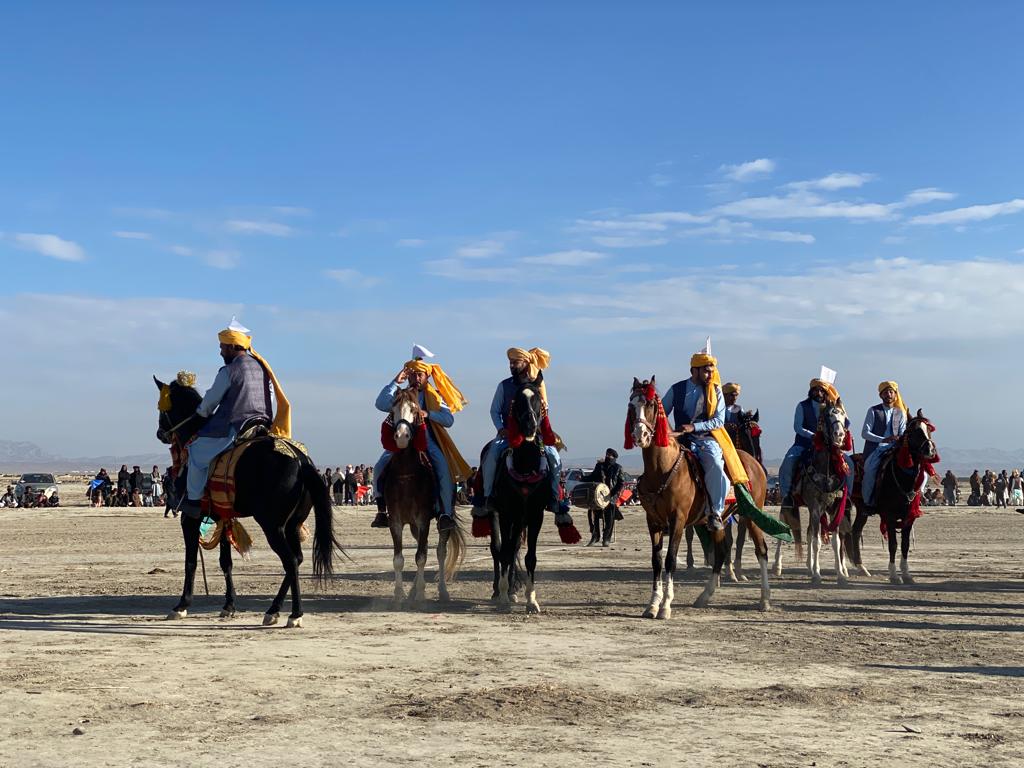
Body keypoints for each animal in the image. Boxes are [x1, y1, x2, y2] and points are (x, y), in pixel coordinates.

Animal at [151, 376, 342, 626]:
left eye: (161, 409)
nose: (160, 432)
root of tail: (301, 461)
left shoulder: (190, 518)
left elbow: (190, 561)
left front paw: (182, 605)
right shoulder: (222, 516)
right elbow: (226, 562)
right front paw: (229, 606)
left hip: (273, 525)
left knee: (290, 561)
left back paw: (294, 614)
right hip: (292, 525)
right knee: (297, 559)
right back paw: (274, 610)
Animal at [380, 387, 468, 610]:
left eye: (414, 409)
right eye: (392, 410)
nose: (402, 436)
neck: (406, 474)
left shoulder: (423, 519)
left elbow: (421, 557)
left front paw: (420, 595)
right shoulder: (396, 521)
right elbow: (399, 559)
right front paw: (399, 596)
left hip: (440, 522)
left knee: (439, 551)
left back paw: (442, 592)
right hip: (414, 526)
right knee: (425, 547)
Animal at [489, 385, 552, 618]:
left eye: (538, 400)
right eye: (516, 400)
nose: (530, 425)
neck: (524, 465)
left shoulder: (535, 516)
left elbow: (529, 557)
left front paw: (531, 601)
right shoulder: (507, 515)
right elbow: (504, 553)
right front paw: (503, 598)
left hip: (521, 521)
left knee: (514, 547)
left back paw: (513, 590)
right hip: (498, 515)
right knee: (498, 549)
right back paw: (499, 591)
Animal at [622, 378, 770, 618]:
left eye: (652, 404)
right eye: (631, 405)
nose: (639, 435)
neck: (662, 468)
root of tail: (754, 464)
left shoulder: (678, 520)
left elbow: (671, 560)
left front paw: (665, 606)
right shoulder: (653, 521)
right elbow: (656, 561)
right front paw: (652, 604)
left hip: (751, 515)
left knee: (761, 550)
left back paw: (764, 599)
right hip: (720, 520)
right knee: (721, 552)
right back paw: (704, 596)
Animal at [847, 411, 937, 585]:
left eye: (928, 429)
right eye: (913, 431)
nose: (930, 450)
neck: (902, 478)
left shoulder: (909, 517)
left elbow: (905, 544)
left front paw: (907, 574)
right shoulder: (889, 516)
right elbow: (893, 544)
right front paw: (894, 575)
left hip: (861, 510)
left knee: (855, 531)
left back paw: (861, 567)